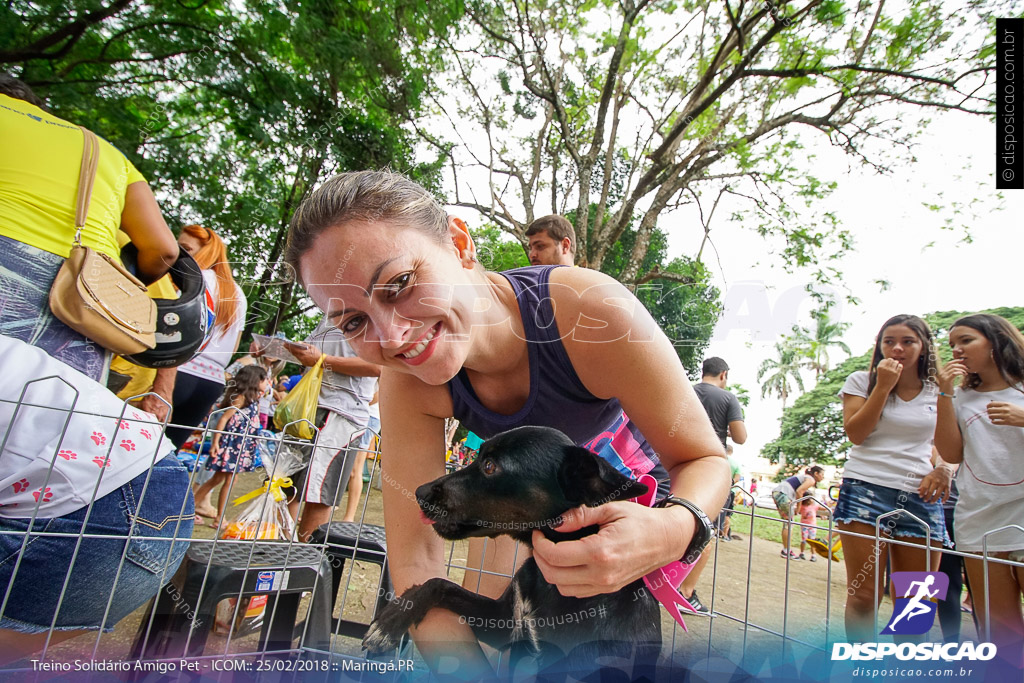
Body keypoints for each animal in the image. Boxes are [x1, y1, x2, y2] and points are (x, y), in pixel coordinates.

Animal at [362, 428, 663, 679]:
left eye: (490, 466)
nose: (418, 492)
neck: (547, 580)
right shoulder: (504, 622)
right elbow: (439, 583)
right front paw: (392, 619)